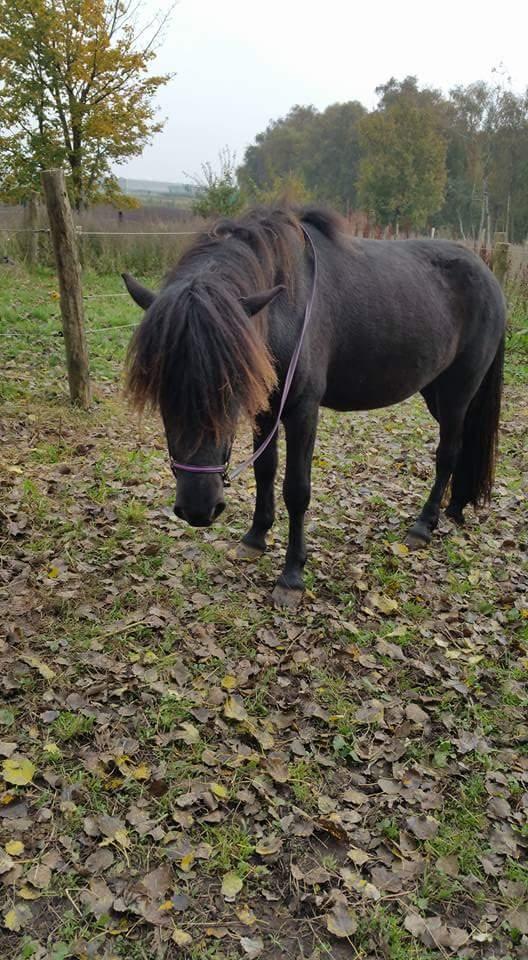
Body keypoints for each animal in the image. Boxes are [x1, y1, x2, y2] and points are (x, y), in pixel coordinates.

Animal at [124, 207, 508, 604]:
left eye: (231, 385)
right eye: (159, 386)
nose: (199, 509)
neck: (286, 310)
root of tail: (487, 274)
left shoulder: (303, 411)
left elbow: (296, 490)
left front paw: (292, 575)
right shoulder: (267, 410)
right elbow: (265, 470)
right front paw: (255, 537)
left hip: (458, 392)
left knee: (448, 453)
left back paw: (423, 525)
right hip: (436, 393)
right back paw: (454, 507)